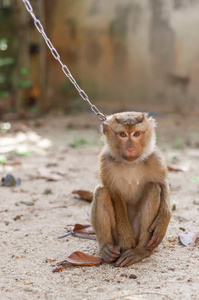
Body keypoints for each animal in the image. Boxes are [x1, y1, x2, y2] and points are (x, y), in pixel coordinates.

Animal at [91, 112, 172, 268]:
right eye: (123, 134)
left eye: (136, 134)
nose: (130, 148)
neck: (130, 163)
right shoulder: (105, 161)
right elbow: (114, 194)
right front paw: (125, 240)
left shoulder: (155, 157)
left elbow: (162, 184)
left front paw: (162, 223)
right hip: (115, 237)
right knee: (101, 191)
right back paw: (106, 248)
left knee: (153, 188)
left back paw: (140, 251)